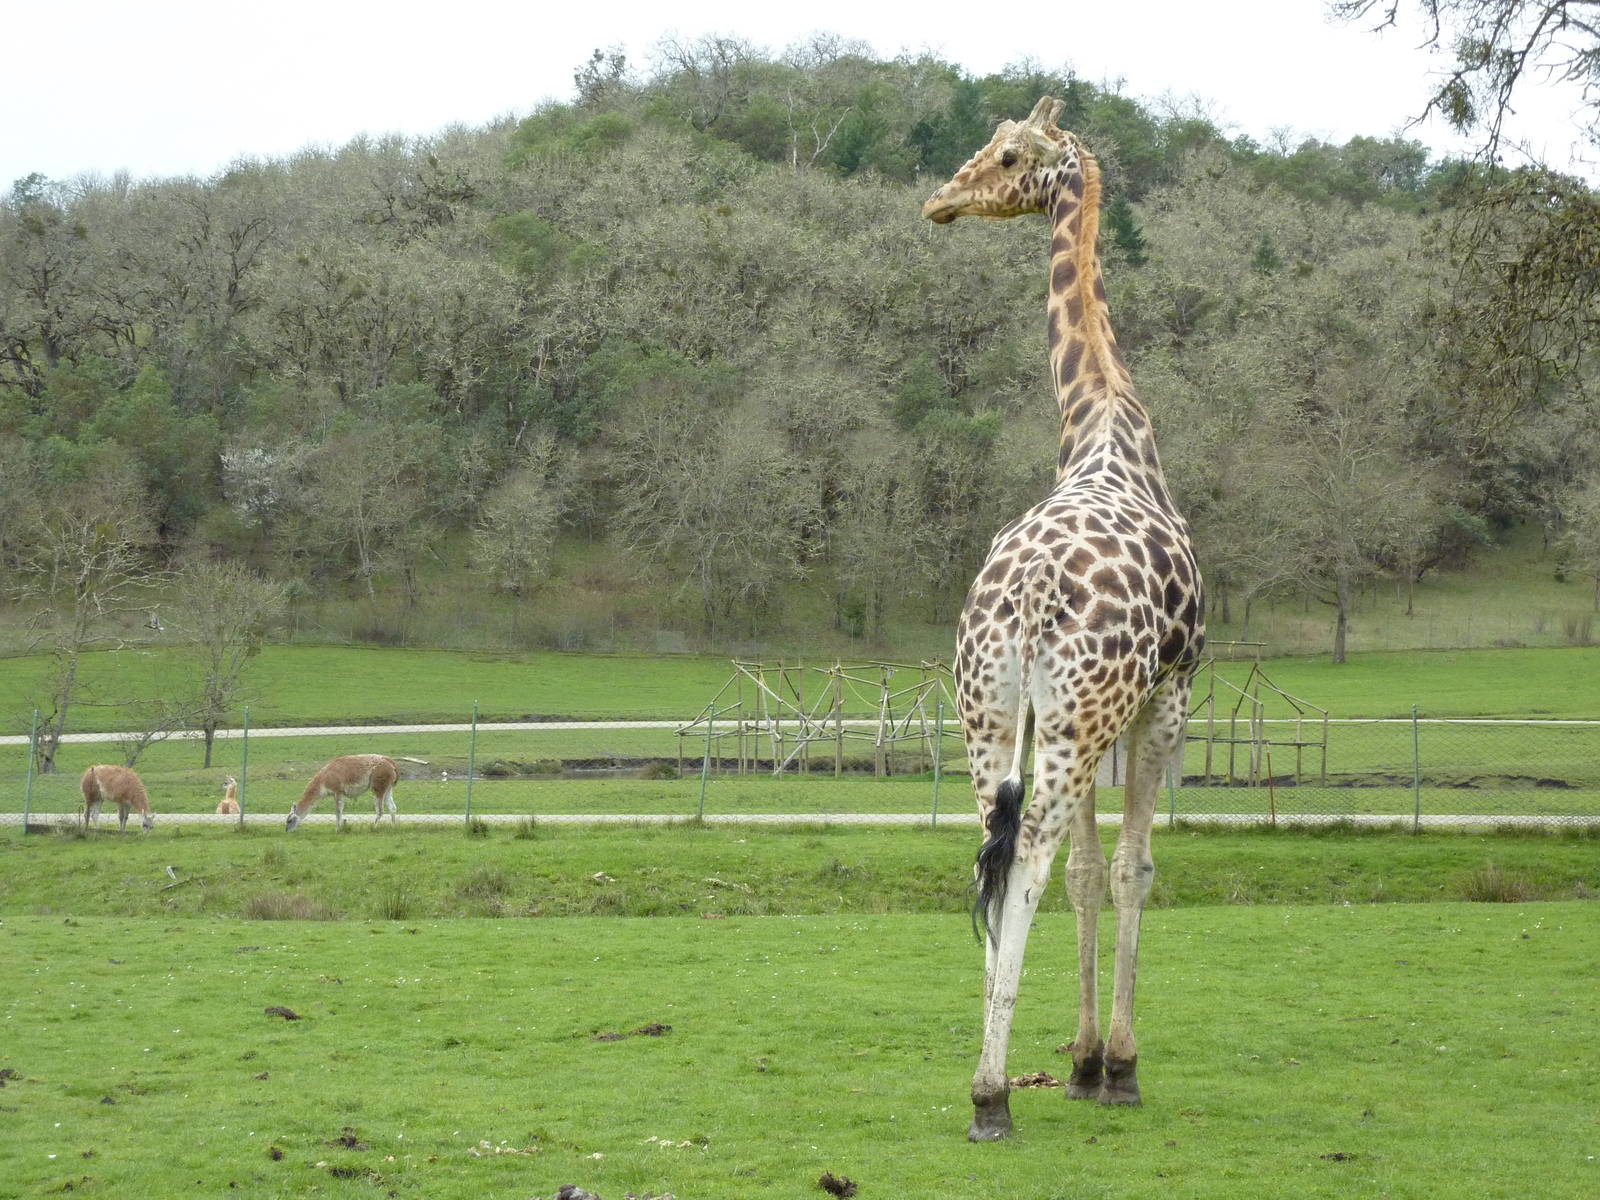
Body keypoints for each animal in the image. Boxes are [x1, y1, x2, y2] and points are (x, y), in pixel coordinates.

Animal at [922, 97, 1206, 1142]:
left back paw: (991, 1075)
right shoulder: (1168, 694)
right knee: (1032, 857)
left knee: (995, 858)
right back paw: (991, 1095)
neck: (1105, 428)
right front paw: (1116, 1064)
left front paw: (1080, 1061)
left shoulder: (1061, 710)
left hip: (989, 712)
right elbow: (1131, 870)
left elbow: (1090, 873)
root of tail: (1031, 592)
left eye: (1007, 156)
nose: (942, 199)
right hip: (1076, 718)